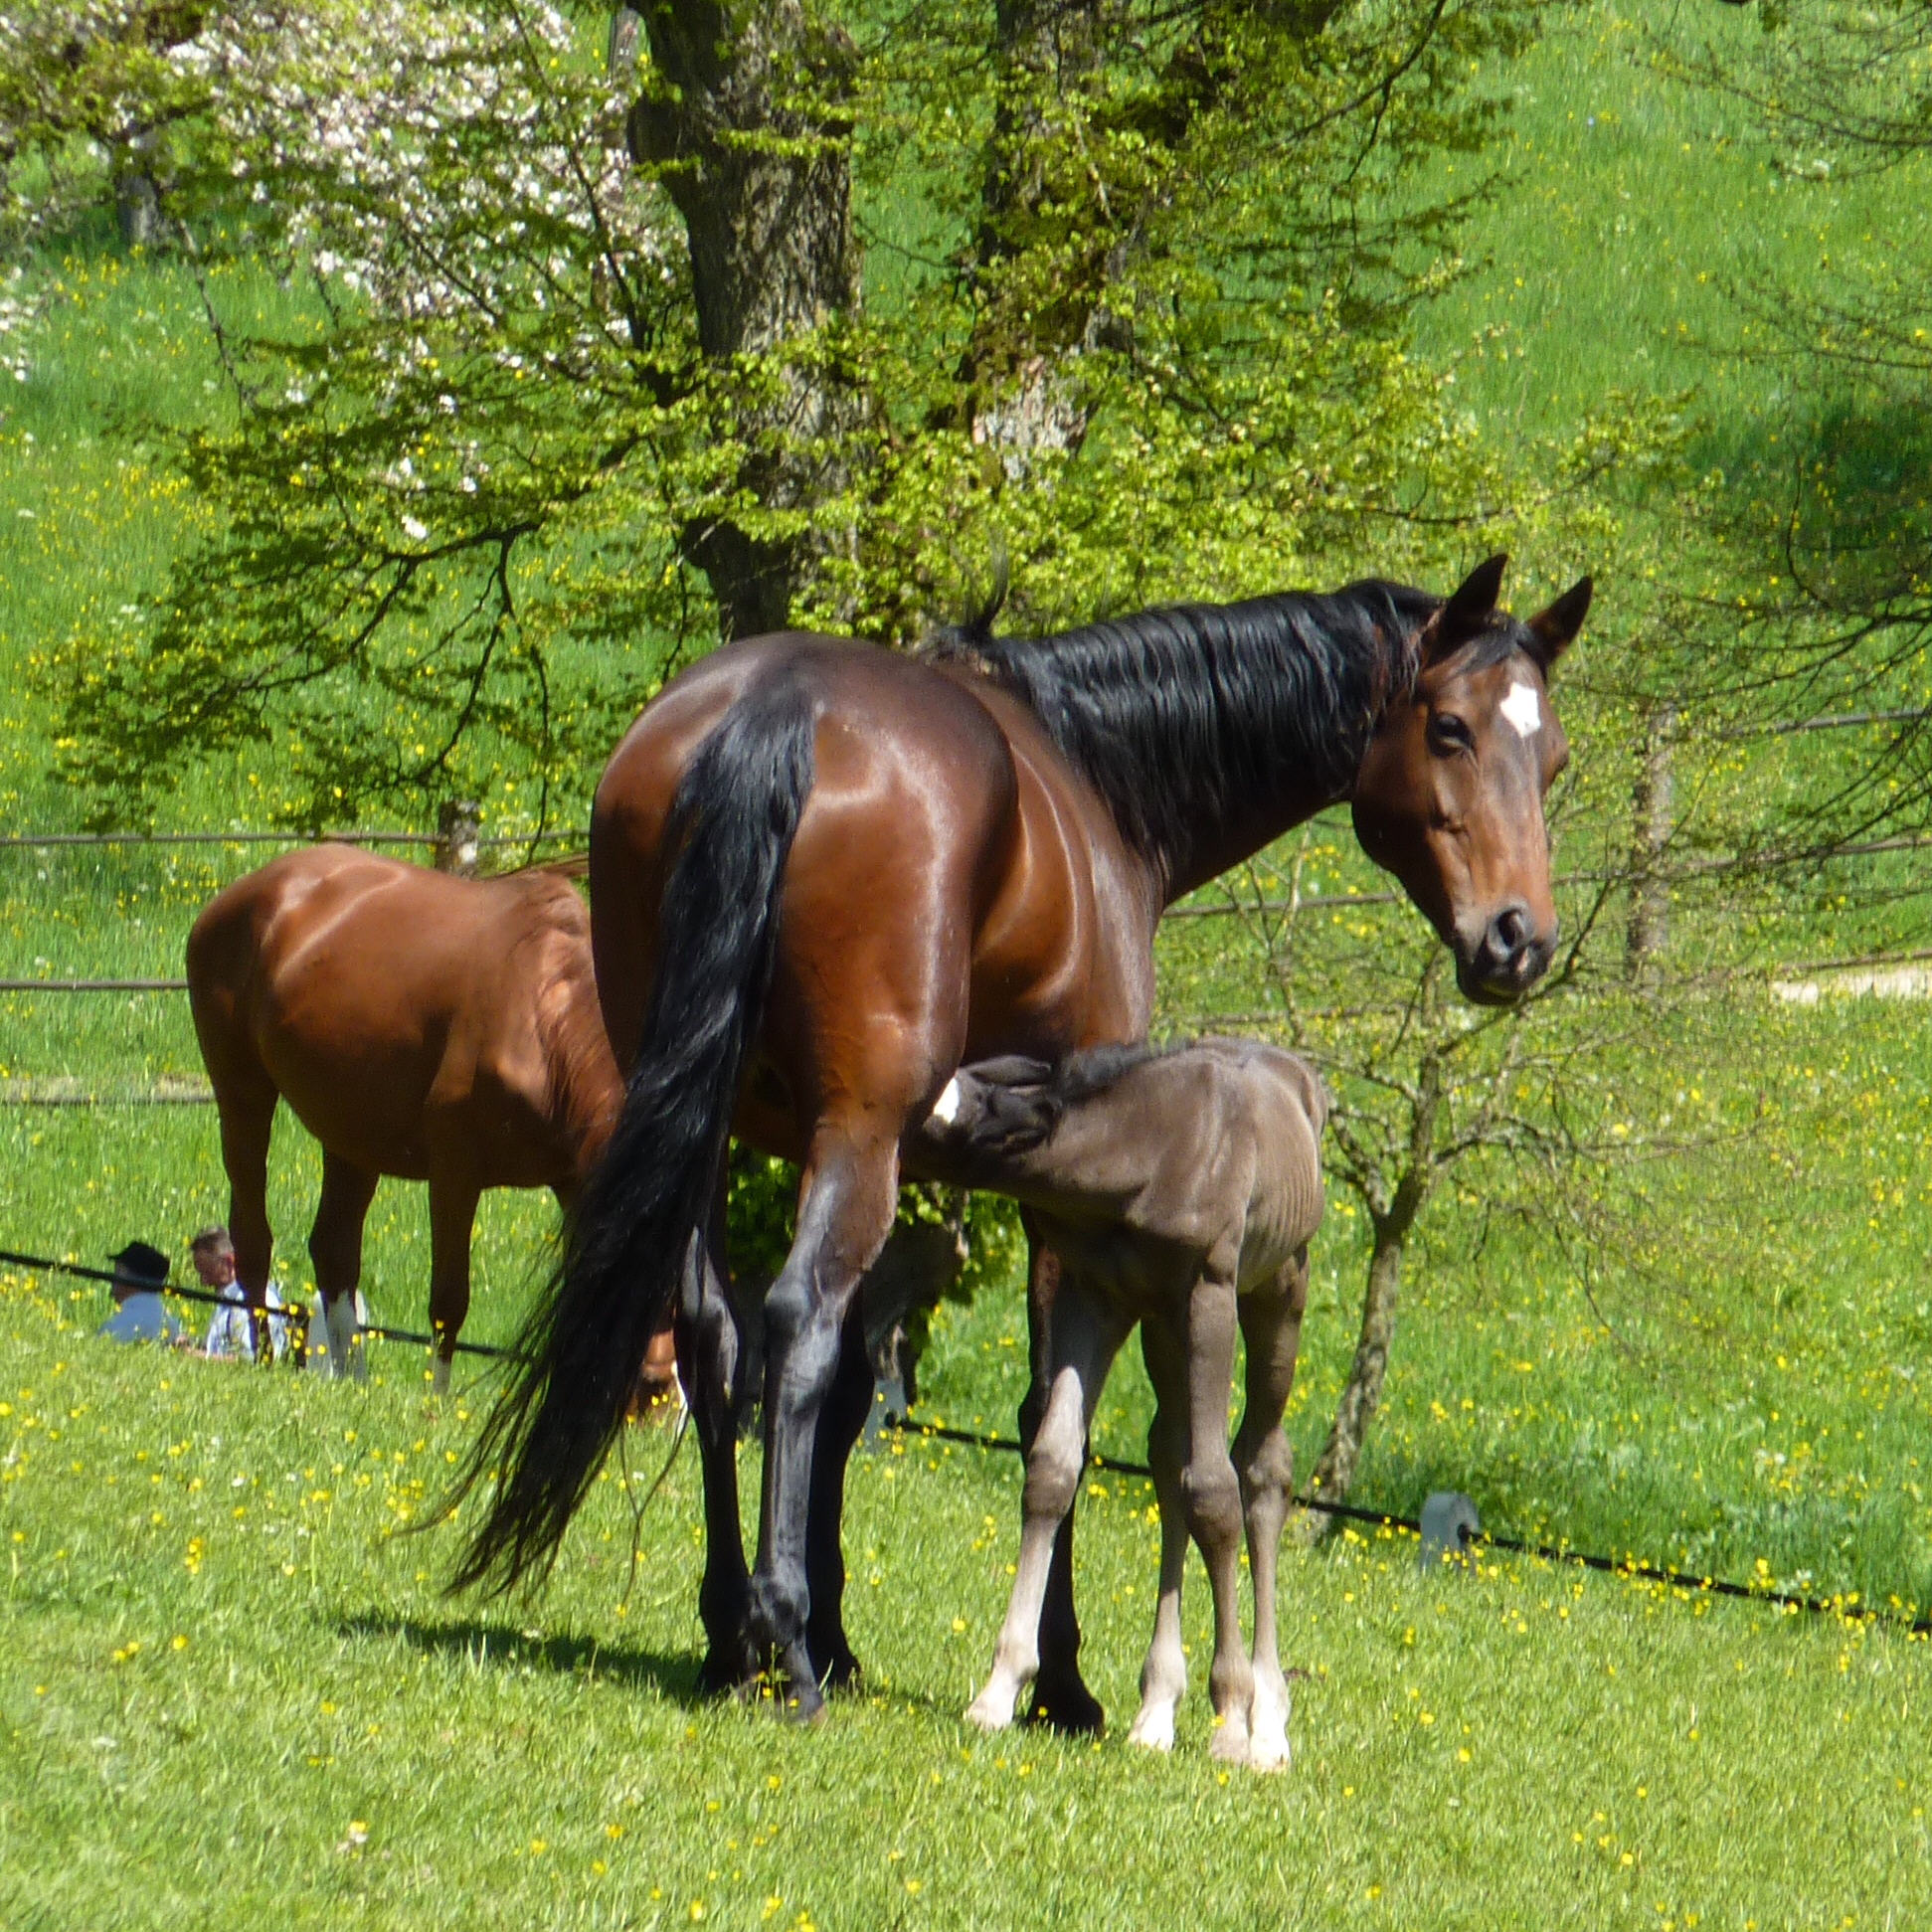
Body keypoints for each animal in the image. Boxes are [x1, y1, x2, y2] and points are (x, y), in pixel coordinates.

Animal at [186, 853, 672, 1398]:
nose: (657, 1386)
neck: (539, 1011)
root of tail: (251, 889)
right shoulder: (455, 1174)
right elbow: (448, 1301)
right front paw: (437, 1401)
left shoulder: (572, 1182)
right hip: (242, 1094)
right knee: (253, 1237)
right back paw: (266, 1359)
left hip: (351, 1135)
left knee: (334, 1253)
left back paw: (352, 1378)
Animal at [451, 548, 1584, 1723]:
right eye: (1449, 727)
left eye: (1550, 756)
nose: (1518, 939)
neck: (1094, 777)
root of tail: (776, 704)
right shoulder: (1052, 1200)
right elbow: (1050, 1416)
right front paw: (1058, 1677)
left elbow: (859, 1385)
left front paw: (842, 1631)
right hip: (854, 1134)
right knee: (794, 1318)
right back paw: (782, 1644)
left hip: (698, 1119)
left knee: (713, 1330)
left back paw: (732, 1633)